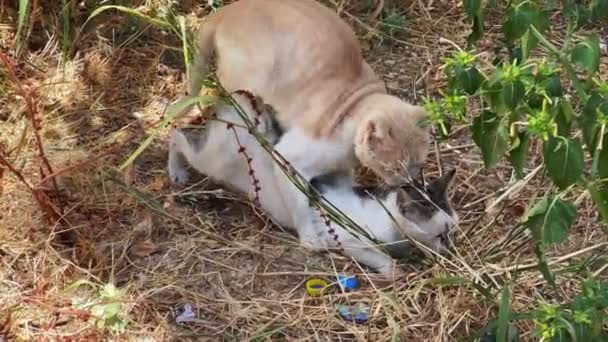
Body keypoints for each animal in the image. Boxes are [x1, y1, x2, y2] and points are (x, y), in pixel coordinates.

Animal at [166, 93, 456, 278]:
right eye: (442, 234)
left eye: (452, 230)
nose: (451, 251)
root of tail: (238, 100)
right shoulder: (345, 240)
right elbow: (380, 258)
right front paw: (392, 270)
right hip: (212, 160)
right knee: (176, 134)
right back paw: (176, 171)